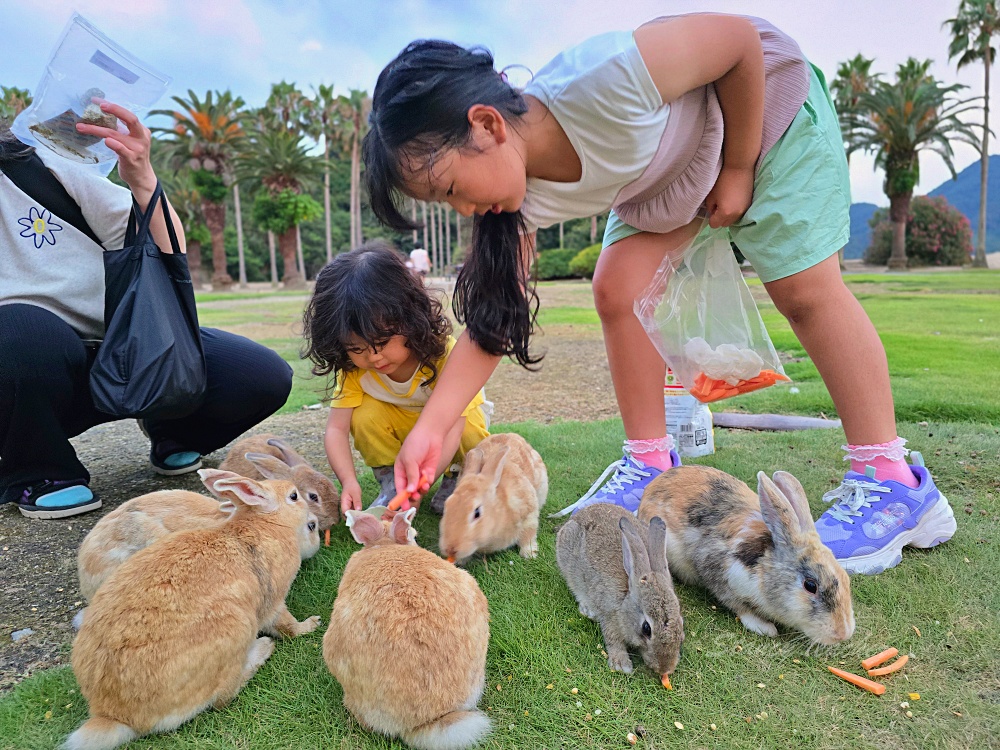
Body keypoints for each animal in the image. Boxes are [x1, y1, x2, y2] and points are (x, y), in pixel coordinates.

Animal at [64, 468, 320, 748]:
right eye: (293, 496)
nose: (314, 521)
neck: (268, 524)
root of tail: (115, 716)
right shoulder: (274, 601)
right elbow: (287, 625)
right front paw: (311, 624)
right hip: (237, 627)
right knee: (223, 697)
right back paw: (262, 648)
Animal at [438, 434, 548, 564]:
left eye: (477, 513)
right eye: (447, 505)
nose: (450, 549)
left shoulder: (529, 514)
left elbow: (528, 536)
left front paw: (529, 554)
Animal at [556, 502, 688, 684]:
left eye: (681, 622)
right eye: (646, 628)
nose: (665, 668)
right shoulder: (610, 613)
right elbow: (613, 639)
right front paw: (621, 664)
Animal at [636, 464, 856, 648]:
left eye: (846, 579)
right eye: (810, 585)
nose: (843, 634)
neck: (763, 566)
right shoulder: (719, 574)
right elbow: (739, 606)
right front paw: (764, 627)